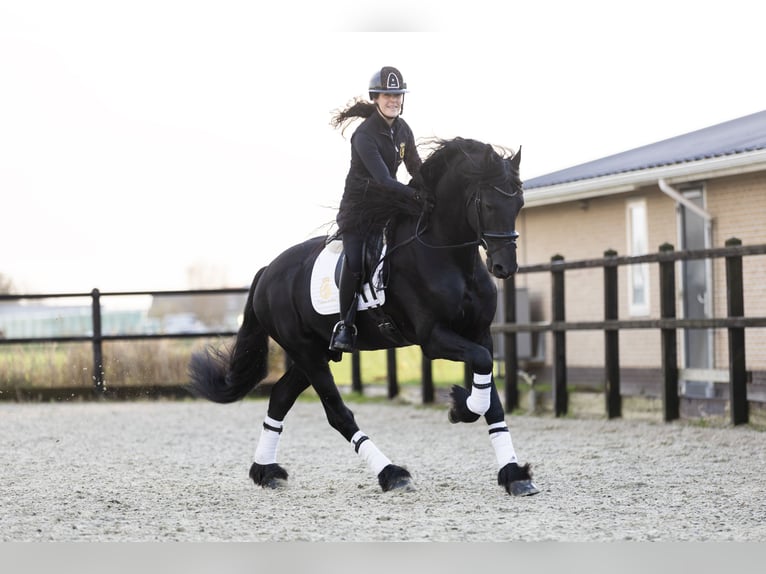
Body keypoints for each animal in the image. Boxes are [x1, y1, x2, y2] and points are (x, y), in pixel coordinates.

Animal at [188, 137, 540, 498]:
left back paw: (266, 471)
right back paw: (392, 473)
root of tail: (267, 271)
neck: (450, 257)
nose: (505, 267)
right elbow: (481, 371)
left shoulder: (479, 333)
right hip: (307, 352)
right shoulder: (433, 338)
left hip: (315, 352)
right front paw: (460, 407)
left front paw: (514, 473)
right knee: (337, 414)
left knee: (280, 397)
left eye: (519, 203)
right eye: (488, 205)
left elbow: (492, 397)